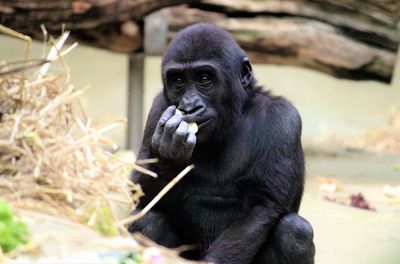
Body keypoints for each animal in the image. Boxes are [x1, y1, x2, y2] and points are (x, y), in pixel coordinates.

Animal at [130, 23, 314, 262]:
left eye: (204, 78)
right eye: (178, 81)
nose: (189, 107)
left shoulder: (283, 118)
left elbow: (263, 206)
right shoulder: (158, 108)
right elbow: (141, 196)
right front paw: (167, 156)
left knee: (295, 232)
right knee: (144, 221)